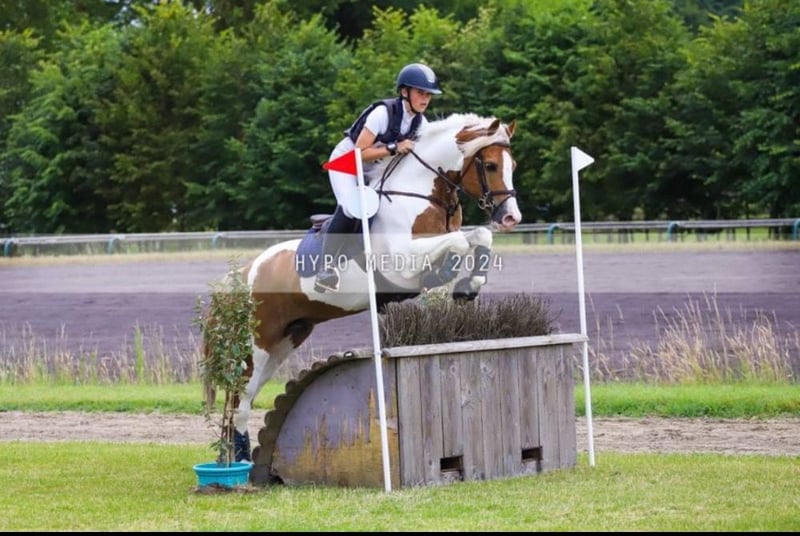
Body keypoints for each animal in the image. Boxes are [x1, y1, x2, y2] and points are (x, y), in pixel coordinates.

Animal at [207, 112, 521, 461]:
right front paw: (457, 278)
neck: (421, 196)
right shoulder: (404, 262)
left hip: (285, 341)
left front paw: (468, 286)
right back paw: (239, 461)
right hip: (260, 342)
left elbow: (480, 235)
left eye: (513, 165)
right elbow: (459, 242)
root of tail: (244, 275)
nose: (511, 218)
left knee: (242, 398)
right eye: (490, 166)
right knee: (241, 400)